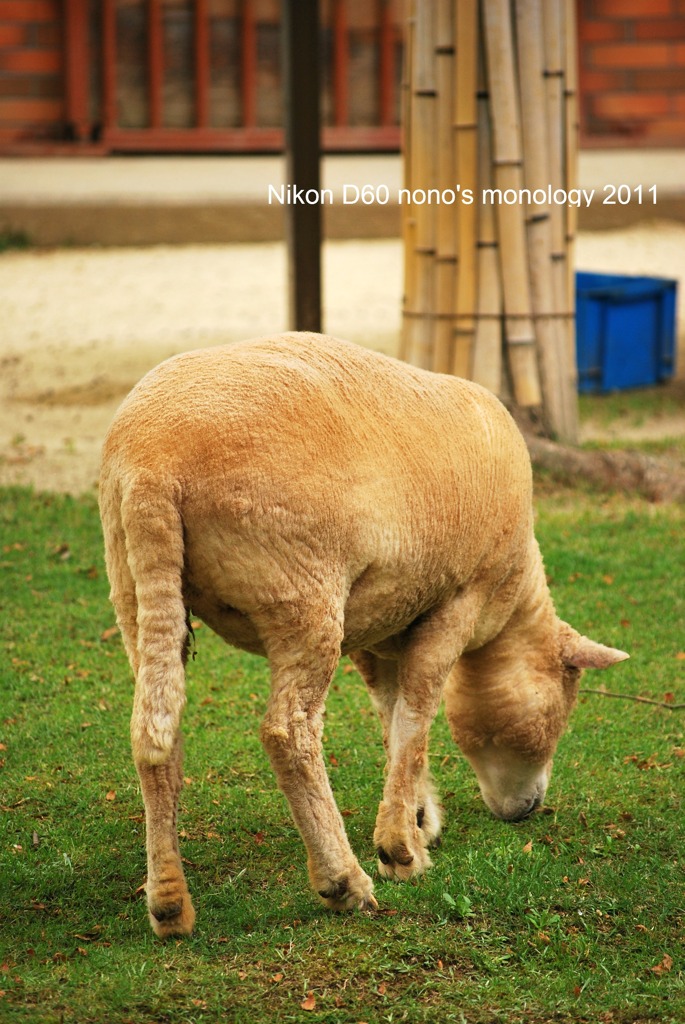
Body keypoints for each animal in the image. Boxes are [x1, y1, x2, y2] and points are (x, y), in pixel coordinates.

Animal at [98, 333, 626, 937]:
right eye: (561, 711)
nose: (528, 809)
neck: (511, 601)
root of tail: (153, 465)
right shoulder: (458, 600)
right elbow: (418, 711)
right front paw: (401, 850)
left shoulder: (379, 625)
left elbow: (391, 714)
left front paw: (417, 817)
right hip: (303, 593)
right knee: (289, 732)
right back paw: (344, 881)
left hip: (137, 587)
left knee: (156, 731)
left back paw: (169, 904)